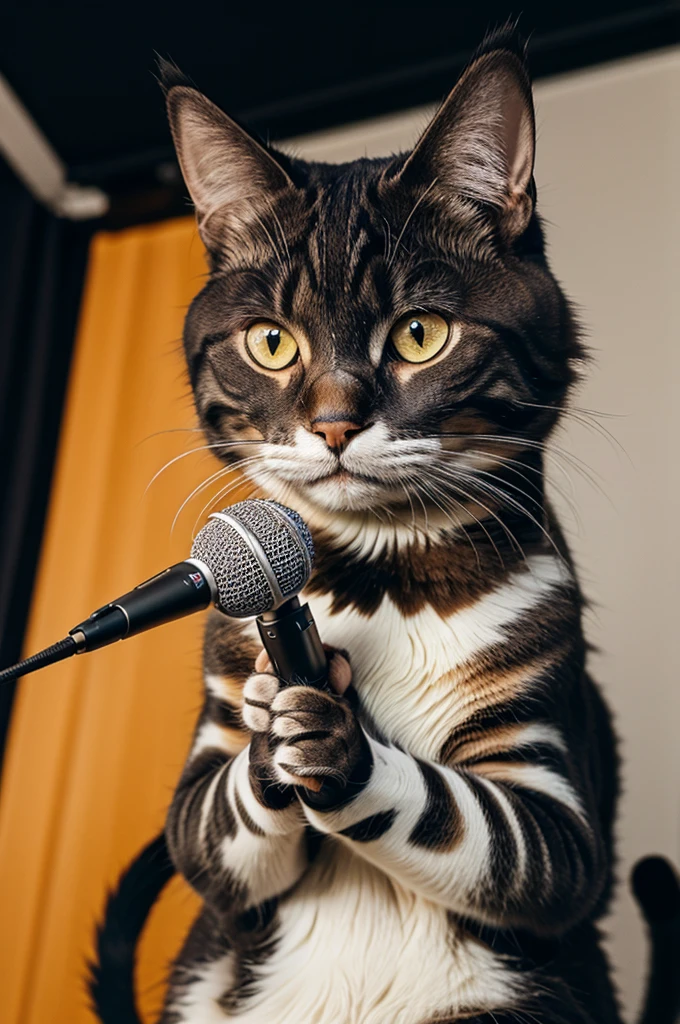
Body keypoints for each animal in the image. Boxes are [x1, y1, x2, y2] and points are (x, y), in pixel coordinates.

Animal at [90, 28, 680, 1024]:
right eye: (272, 342)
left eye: (419, 334)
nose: (333, 424)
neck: (379, 579)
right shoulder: (209, 764)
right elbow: (207, 830)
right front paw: (278, 722)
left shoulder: (552, 795)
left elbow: (488, 828)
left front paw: (337, 738)